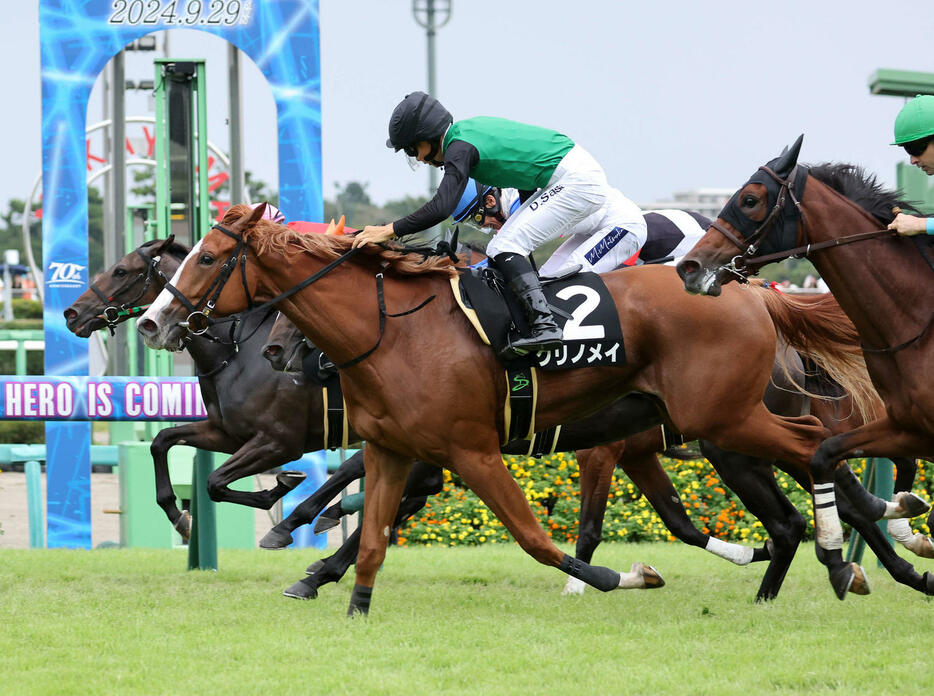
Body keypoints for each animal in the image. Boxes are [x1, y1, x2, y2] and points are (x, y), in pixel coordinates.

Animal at [135, 203, 896, 616]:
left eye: (208, 259)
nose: (151, 323)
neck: (395, 330)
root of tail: (750, 291)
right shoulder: (394, 449)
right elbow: (372, 534)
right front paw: (330, 579)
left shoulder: (467, 450)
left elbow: (539, 537)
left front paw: (624, 576)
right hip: (716, 432)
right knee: (795, 492)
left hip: (726, 424)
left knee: (816, 451)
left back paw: (861, 552)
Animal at [676, 137, 934, 600]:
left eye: (750, 199)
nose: (690, 266)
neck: (917, 317)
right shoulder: (907, 423)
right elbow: (827, 460)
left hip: (735, 444)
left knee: (793, 520)